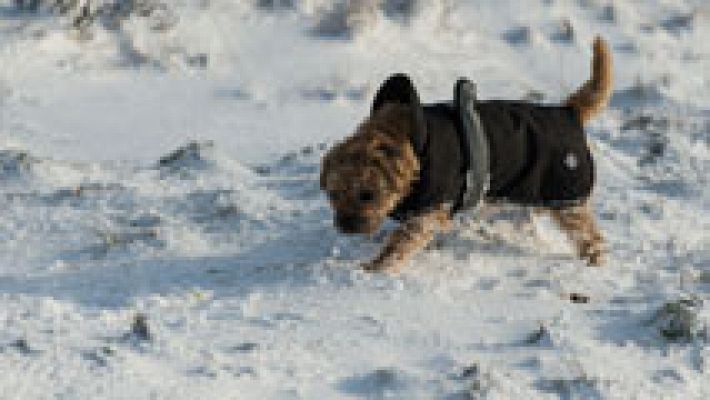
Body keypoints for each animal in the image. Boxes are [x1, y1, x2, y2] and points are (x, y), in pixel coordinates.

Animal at [322, 36, 612, 272]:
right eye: (334, 195)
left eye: (367, 195)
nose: (345, 225)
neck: (408, 141)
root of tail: (569, 110)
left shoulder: (429, 210)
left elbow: (400, 243)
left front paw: (377, 267)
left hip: (567, 195)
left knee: (589, 234)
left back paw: (594, 258)